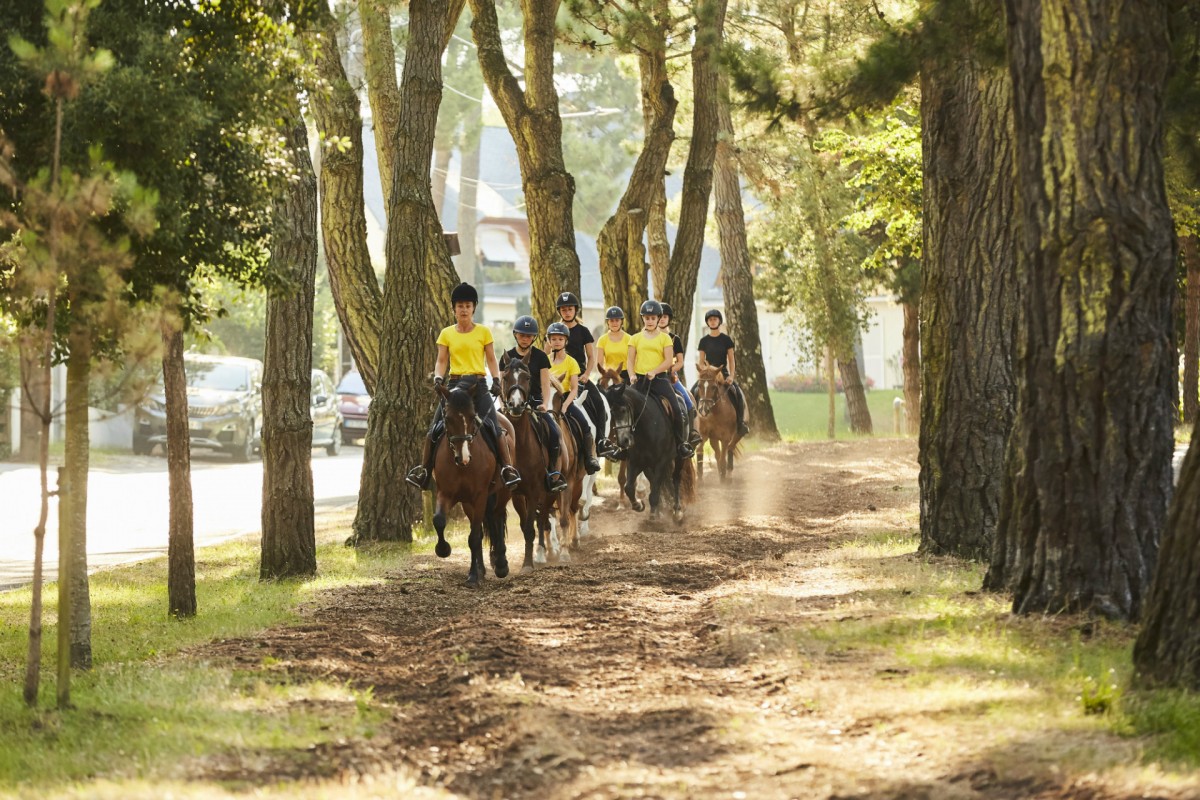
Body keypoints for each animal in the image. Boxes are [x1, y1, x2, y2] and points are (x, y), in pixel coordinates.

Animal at [432, 383, 511, 585]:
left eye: (472, 418)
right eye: (448, 418)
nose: (464, 457)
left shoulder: (480, 496)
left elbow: (474, 537)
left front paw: (474, 577)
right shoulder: (446, 493)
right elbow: (439, 520)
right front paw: (443, 549)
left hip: (501, 493)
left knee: (498, 519)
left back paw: (500, 564)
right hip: (468, 503)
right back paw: (483, 568)